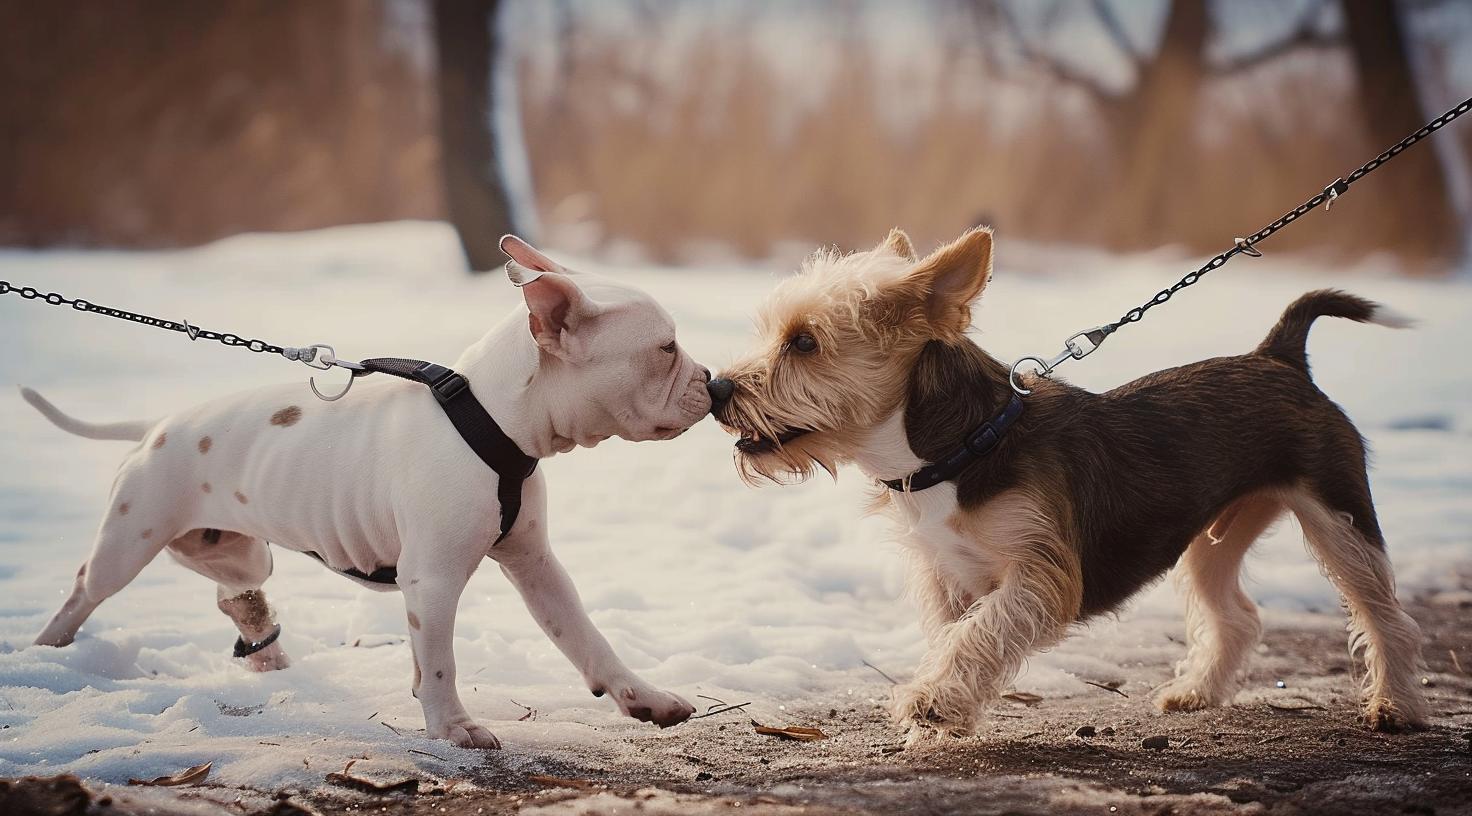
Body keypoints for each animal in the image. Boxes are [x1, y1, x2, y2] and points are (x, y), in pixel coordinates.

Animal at [21, 235, 712, 742]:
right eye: (665, 348)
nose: (714, 381)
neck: (490, 418)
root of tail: (158, 426)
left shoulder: (535, 564)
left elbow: (587, 638)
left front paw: (644, 699)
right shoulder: (432, 578)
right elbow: (441, 659)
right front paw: (453, 727)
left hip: (237, 549)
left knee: (234, 592)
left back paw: (270, 663)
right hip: (129, 539)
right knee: (83, 590)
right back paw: (46, 652)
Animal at [706, 226, 1430, 736]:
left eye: (804, 343)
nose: (715, 389)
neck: (961, 447)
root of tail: (1279, 356)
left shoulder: (1041, 571)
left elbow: (982, 633)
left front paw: (933, 703)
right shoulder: (948, 576)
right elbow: (960, 639)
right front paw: (949, 708)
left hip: (1339, 514)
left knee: (1384, 613)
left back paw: (1395, 706)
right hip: (1210, 539)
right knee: (1237, 616)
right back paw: (1197, 692)